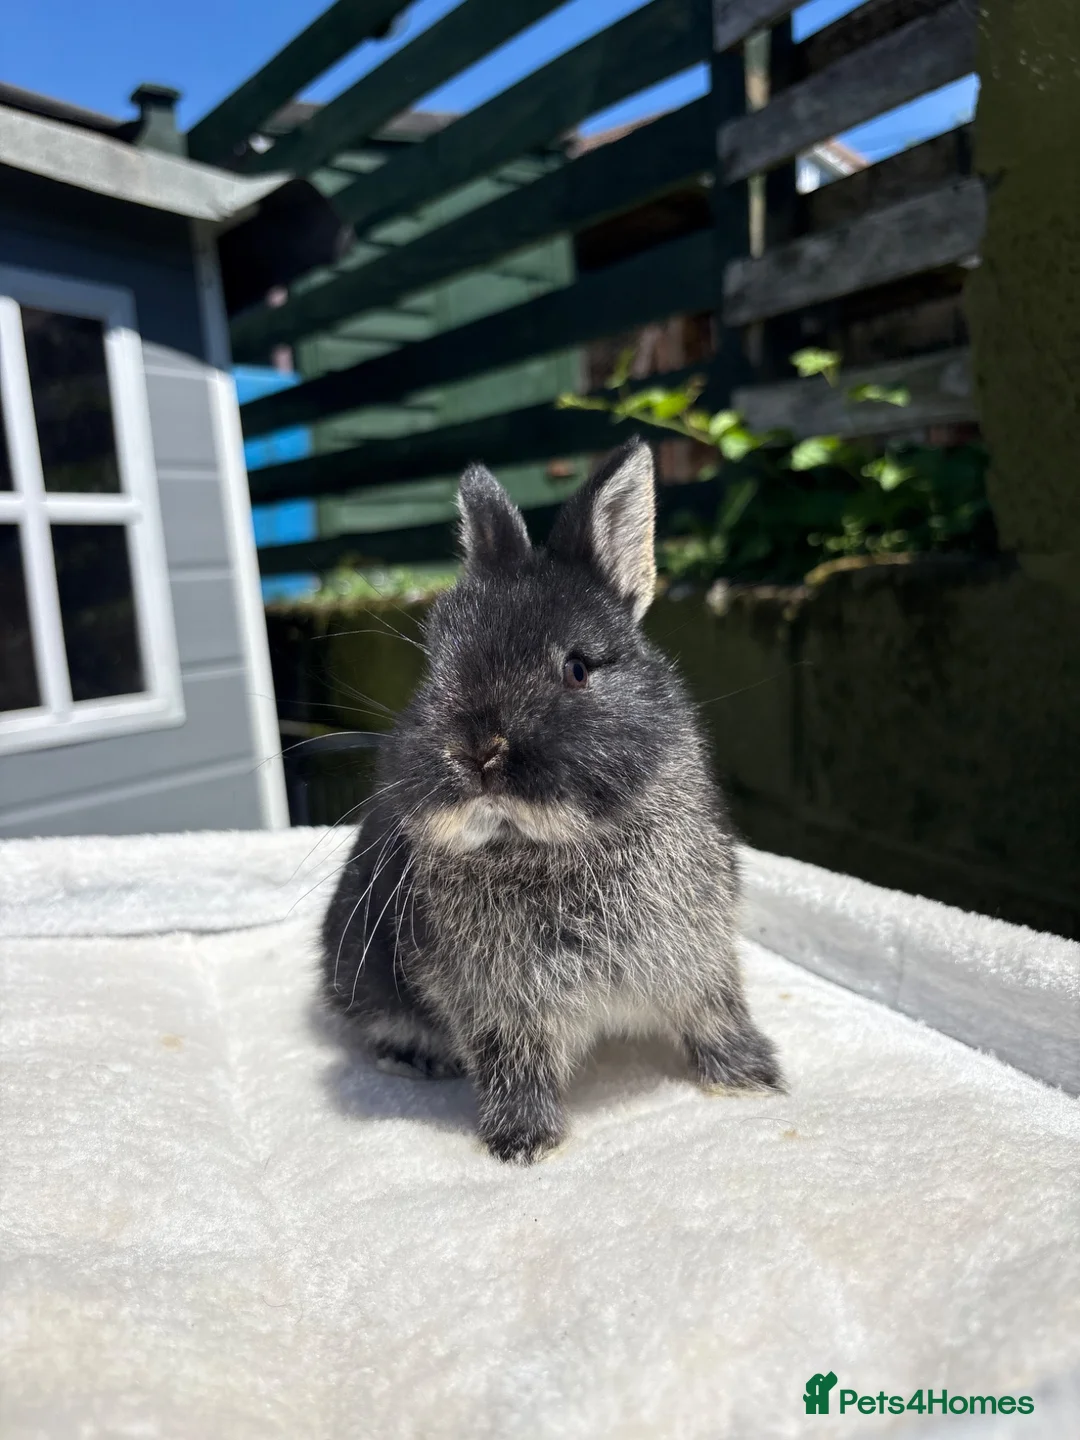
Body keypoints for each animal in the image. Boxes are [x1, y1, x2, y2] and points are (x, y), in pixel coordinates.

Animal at [320, 437, 784, 1164]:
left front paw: (751, 1079)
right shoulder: (496, 1008)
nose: (478, 753)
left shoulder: (702, 957)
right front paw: (525, 1144)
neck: (548, 847)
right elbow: (513, 1066)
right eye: (433, 668)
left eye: (577, 669)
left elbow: (716, 1012)